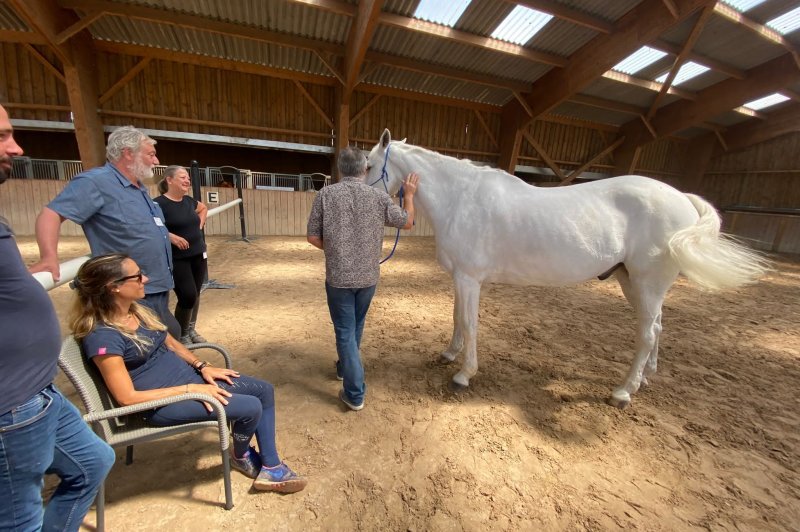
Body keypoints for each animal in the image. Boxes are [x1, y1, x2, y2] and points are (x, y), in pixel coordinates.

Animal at [365, 129, 769, 408]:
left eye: (369, 165)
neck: (461, 199)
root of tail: (681, 197)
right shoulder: (460, 278)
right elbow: (456, 318)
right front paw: (449, 354)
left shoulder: (470, 278)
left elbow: (469, 322)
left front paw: (464, 374)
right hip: (633, 283)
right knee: (656, 326)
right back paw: (645, 377)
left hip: (647, 283)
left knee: (647, 333)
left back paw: (623, 391)